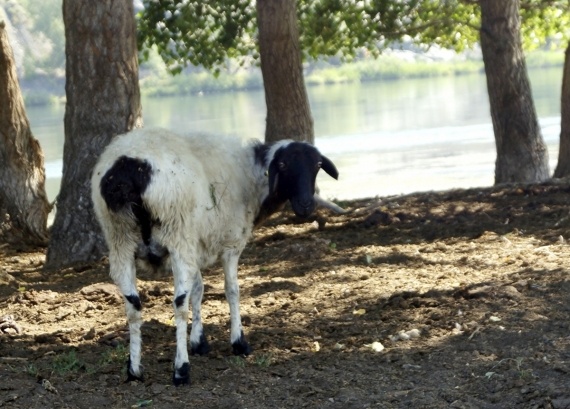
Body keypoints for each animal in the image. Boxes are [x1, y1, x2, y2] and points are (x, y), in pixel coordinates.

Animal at [89, 126, 338, 382]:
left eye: (318, 164)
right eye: (283, 165)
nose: (306, 205)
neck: (250, 173)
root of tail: (129, 166)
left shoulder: (195, 246)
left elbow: (198, 290)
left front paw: (199, 341)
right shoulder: (230, 244)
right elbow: (232, 291)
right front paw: (238, 342)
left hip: (121, 242)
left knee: (133, 306)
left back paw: (134, 370)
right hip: (176, 236)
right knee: (178, 304)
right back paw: (181, 370)